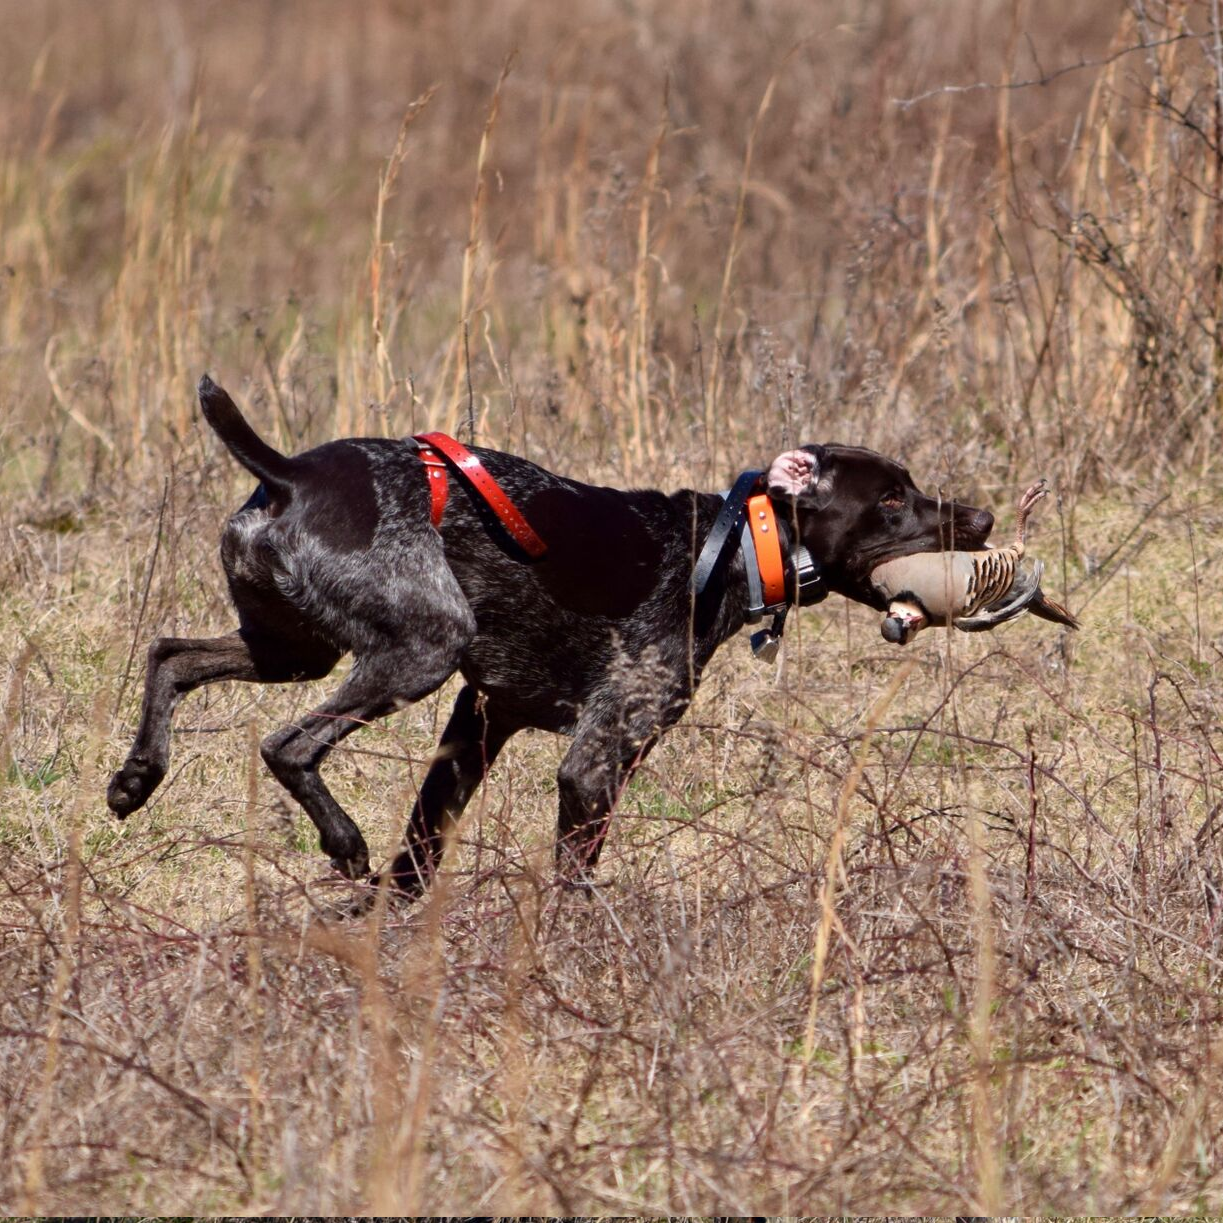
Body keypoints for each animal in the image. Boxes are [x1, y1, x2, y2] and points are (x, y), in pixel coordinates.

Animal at [107, 375, 995, 896]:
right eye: (890, 500)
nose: (982, 518)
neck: (727, 548)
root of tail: (289, 473)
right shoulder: (599, 755)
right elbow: (574, 877)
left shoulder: (478, 722)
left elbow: (418, 853)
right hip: (417, 650)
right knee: (287, 745)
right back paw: (340, 839)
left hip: (299, 648)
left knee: (170, 654)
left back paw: (137, 776)